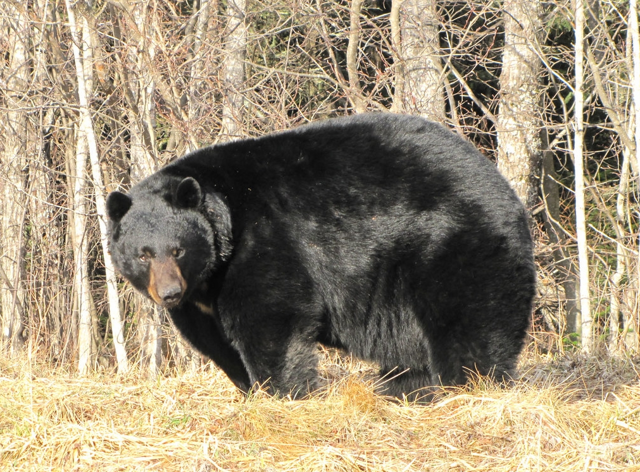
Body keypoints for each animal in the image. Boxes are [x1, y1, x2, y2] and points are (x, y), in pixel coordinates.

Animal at [106, 113, 536, 401]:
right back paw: (403, 388)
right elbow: (216, 342)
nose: (169, 293)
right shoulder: (201, 301)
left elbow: (272, 318)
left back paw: (467, 387)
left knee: (471, 327)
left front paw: (283, 393)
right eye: (143, 254)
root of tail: (507, 192)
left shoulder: (265, 242)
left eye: (177, 249)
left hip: (454, 247)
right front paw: (248, 390)